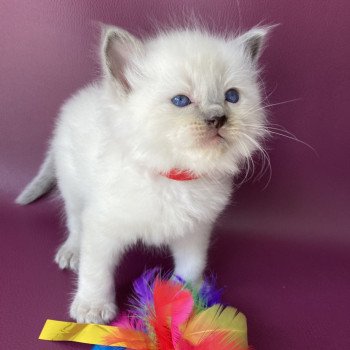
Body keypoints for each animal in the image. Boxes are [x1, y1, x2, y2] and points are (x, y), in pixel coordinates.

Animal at [16, 24, 270, 324]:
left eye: (232, 97)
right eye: (181, 100)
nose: (218, 118)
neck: (173, 177)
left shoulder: (195, 230)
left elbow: (192, 265)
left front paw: (188, 298)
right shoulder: (101, 225)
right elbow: (95, 271)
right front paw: (92, 308)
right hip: (73, 189)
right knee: (75, 223)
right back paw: (71, 251)